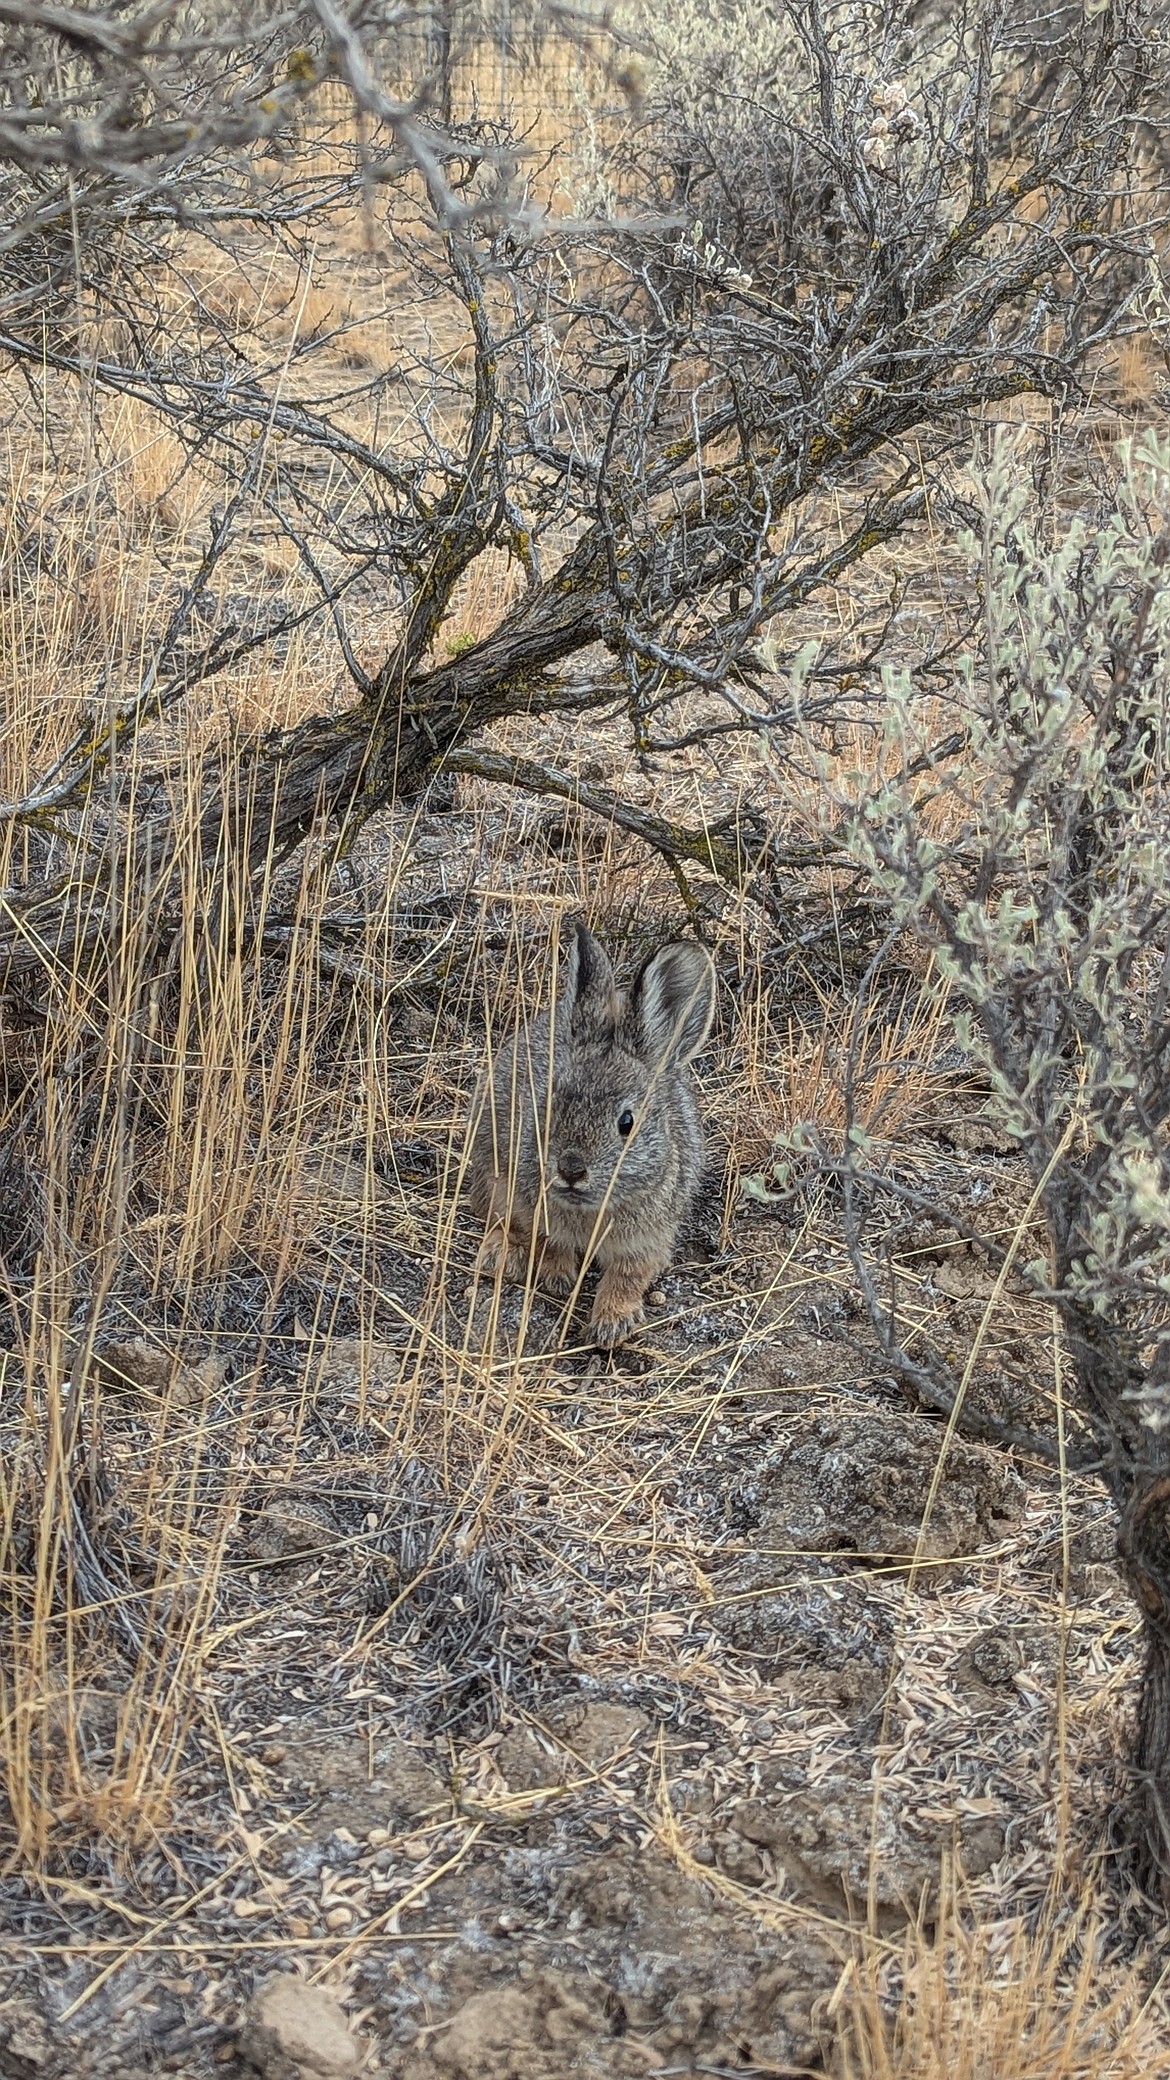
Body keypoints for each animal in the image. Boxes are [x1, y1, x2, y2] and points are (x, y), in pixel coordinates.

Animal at [467, 918, 717, 1346]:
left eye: (626, 1122)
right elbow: (548, 1244)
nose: (570, 1169)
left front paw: (611, 1323)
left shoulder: (650, 1237)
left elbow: (629, 1276)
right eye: (550, 1103)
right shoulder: (531, 1207)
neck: (591, 1209)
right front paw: (557, 1279)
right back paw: (500, 1256)